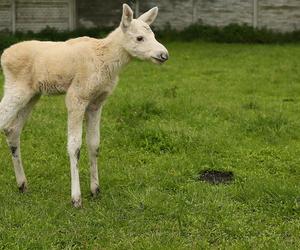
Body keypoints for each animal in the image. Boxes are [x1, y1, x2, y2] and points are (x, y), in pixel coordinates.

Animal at [0, 3, 169, 208]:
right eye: (139, 38)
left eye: (154, 35)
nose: (164, 55)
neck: (108, 63)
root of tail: (4, 57)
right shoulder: (76, 96)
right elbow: (74, 146)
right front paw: (76, 198)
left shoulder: (97, 102)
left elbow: (94, 144)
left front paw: (95, 190)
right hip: (16, 87)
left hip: (32, 94)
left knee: (12, 129)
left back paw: (22, 184)